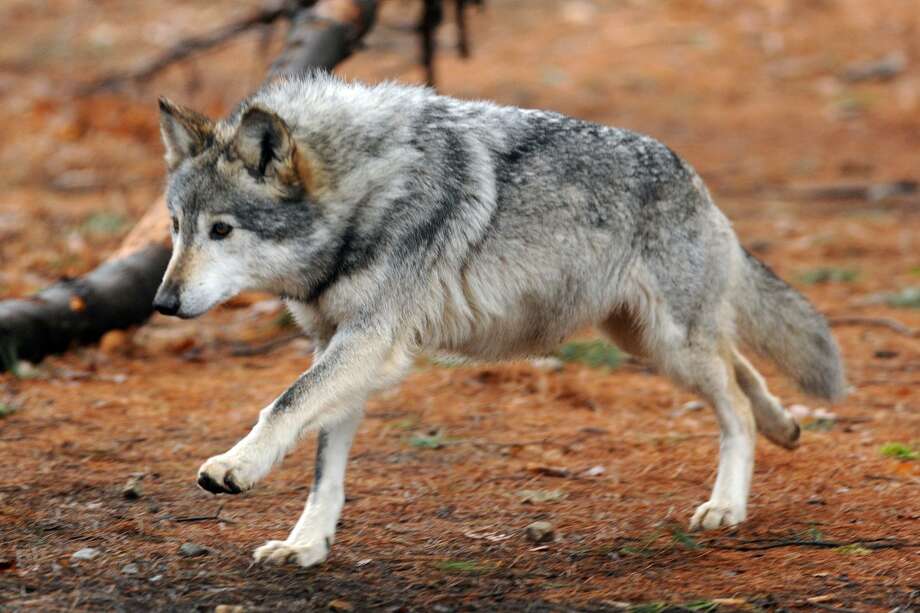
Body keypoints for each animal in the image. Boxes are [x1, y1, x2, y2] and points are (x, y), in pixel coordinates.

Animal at [153, 73, 848, 568]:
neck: (367, 192)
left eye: (222, 230)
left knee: (735, 402)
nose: (161, 302)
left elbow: (282, 405)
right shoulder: (339, 347)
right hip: (646, 342)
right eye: (177, 226)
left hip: (670, 344)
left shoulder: (370, 343)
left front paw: (234, 467)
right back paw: (785, 427)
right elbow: (323, 464)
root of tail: (694, 177)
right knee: (743, 369)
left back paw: (726, 505)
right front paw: (306, 545)